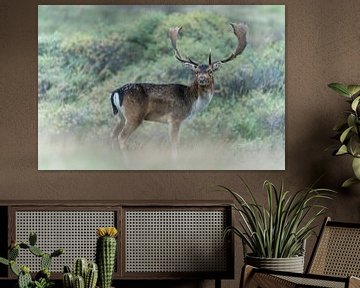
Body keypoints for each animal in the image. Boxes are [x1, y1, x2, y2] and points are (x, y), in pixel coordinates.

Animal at [109, 23, 246, 155]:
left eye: (210, 71)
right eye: (196, 71)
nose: (201, 79)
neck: (192, 102)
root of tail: (116, 92)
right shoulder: (175, 118)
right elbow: (175, 145)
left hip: (119, 117)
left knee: (112, 135)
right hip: (134, 115)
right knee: (122, 137)